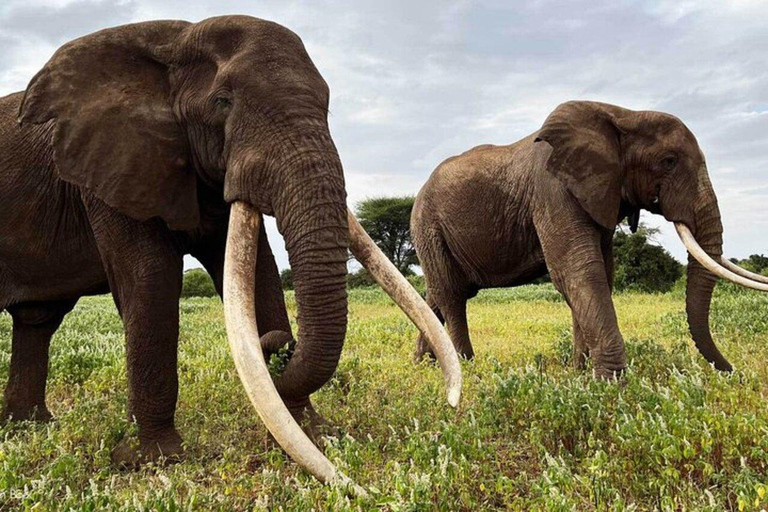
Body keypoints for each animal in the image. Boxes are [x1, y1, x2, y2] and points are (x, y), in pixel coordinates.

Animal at [0, 16, 462, 487]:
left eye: (327, 106)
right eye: (222, 102)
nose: (276, 345)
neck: (174, 41)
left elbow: (257, 272)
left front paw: (315, 433)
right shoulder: (112, 164)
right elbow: (151, 278)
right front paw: (154, 461)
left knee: (37, 320)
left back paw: (31, 426)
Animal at [411, 100, 768, 377]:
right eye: (668, 162)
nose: (731, 371)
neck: (624, 114)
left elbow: (599, 274)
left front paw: (580, 373)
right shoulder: (552, 189)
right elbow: (579, 270)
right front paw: (610, 383)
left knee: (436, 294)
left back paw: (424, 365)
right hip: (428, 226)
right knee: (453, 295)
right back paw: (466, 367)